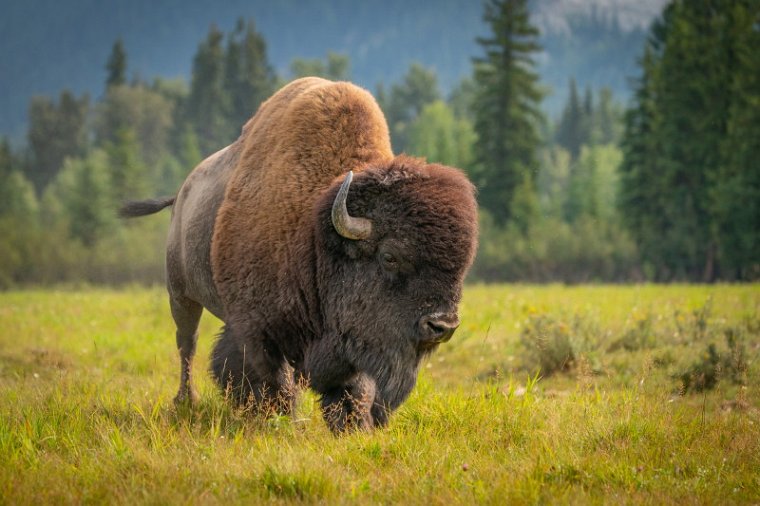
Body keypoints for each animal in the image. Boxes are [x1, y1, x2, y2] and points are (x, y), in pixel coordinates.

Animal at [121, 77, 478, 432]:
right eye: (389, 256)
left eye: (462, 266)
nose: (442, 325)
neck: (315, 236)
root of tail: (182, 193)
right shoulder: (257, 330)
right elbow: (270, 378)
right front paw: (280, 421)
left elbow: (354, 387)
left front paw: (353, 426)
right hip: (180, 296)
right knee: (187, 343)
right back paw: (186, 401)